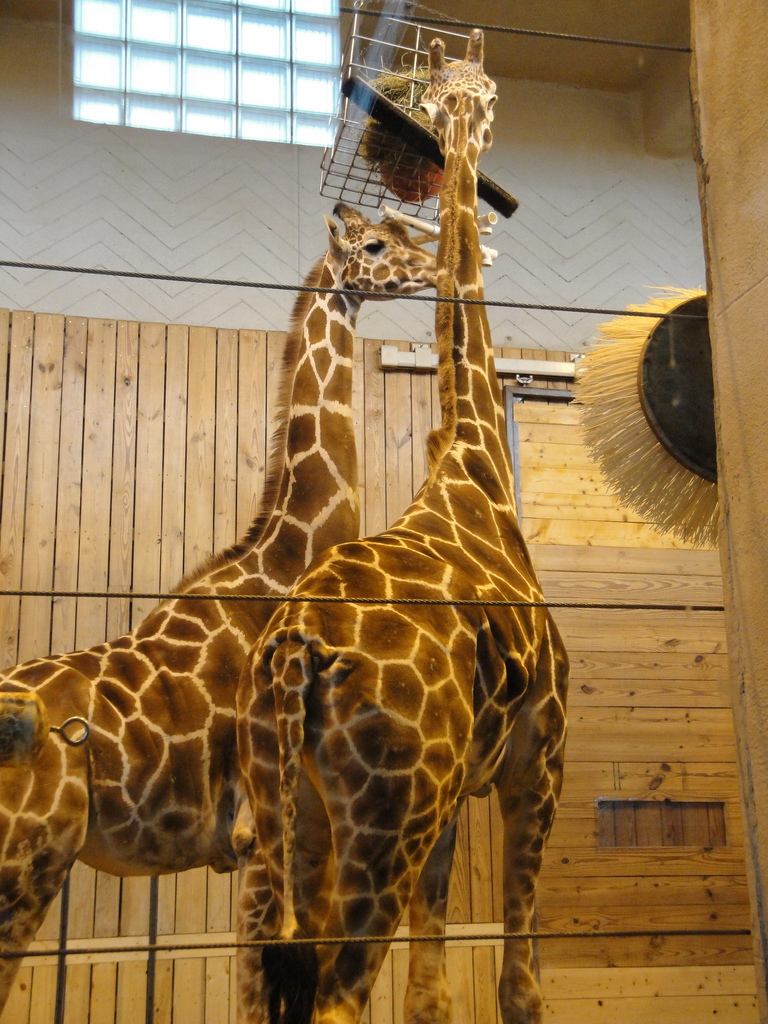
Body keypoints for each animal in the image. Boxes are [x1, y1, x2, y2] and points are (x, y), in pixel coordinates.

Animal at [0, 203, 437, 1015]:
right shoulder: (262, 838)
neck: (282, 562)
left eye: (396, 230)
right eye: (374, 243)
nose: (436, 265)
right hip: (27, 866)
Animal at [236, 30, 568, 1024]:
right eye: (484, 97)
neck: (475, 461)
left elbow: (430, 992)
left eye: (459, 93)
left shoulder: (459, 792)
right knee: (339, 994)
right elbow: (518, 982)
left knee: (280, 976)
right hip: (390, 812)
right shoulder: (538, 759)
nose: (466, 131)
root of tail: (293, 653)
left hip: (293, 815)